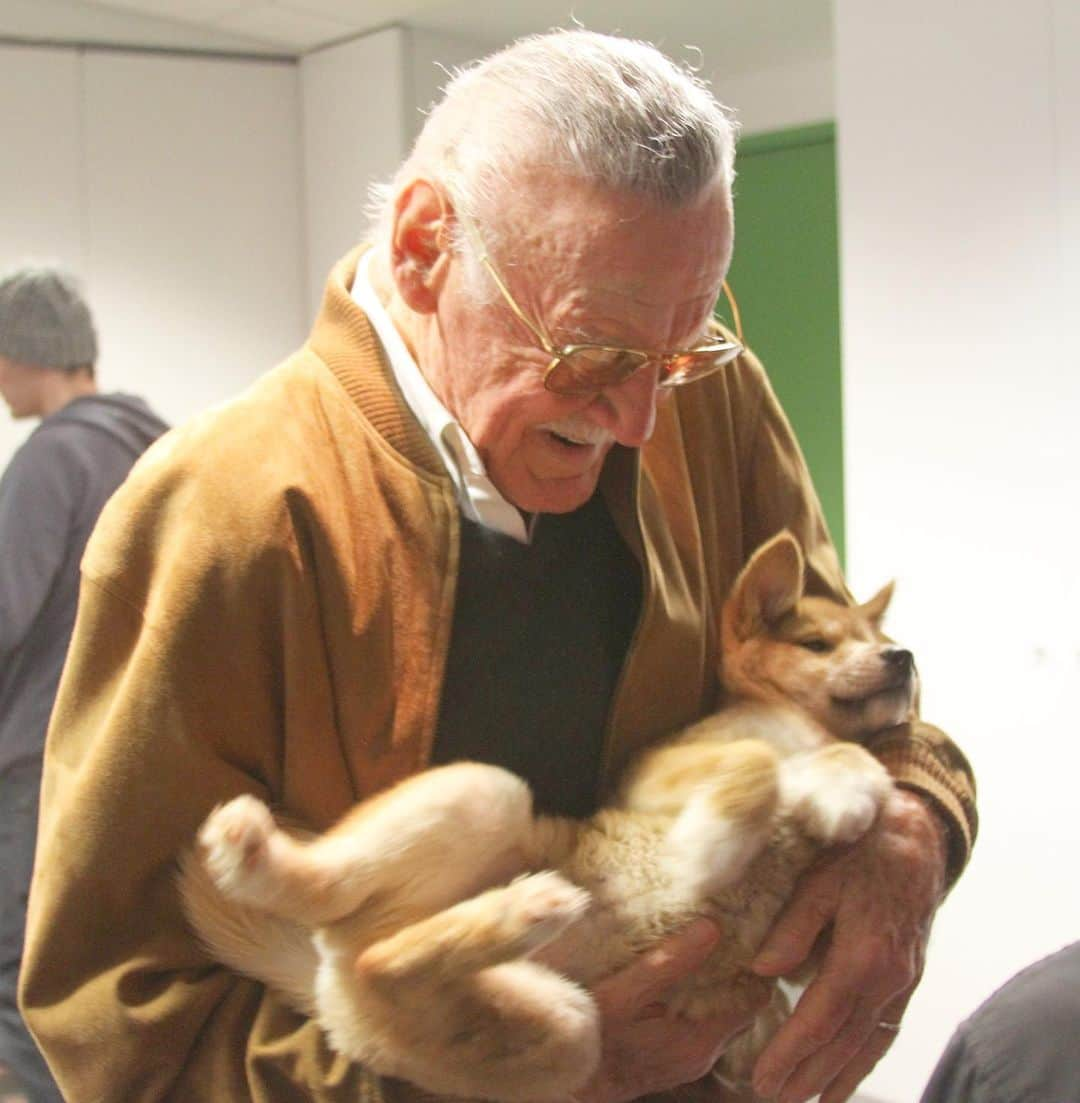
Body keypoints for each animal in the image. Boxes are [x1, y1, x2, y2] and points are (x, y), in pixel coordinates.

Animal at [182, 529, 917, 1098]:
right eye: (818, 645)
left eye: (874, 639)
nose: (902, 655)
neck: (802, 726)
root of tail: (327, 974)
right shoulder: (654, 772)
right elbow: (755, 763)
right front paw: (714, 847)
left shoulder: (797, 947)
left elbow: (852, 761)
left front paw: (844, 792)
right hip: (487, 797)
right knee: (344, 907)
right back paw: (258, 857)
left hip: (564, 1027)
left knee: (389, 964)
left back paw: (517, 911)